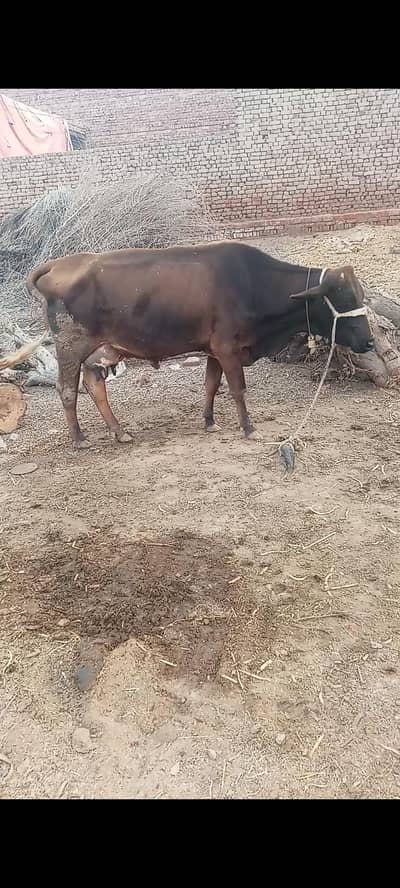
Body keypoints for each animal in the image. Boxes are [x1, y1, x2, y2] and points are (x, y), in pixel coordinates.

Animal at [0, 241, 373, 447]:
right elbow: (237, 389)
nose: (369, 341)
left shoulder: (214, 350)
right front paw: (248, 427)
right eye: (344, 297)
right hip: (70, 347)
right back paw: (78, 439)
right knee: (67, 390)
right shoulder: (228, 348)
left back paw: (119, 432)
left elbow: (210, 386)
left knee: (95, 388)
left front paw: (209, 421)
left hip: (98, 352)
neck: (252, 284)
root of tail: (59, 264)